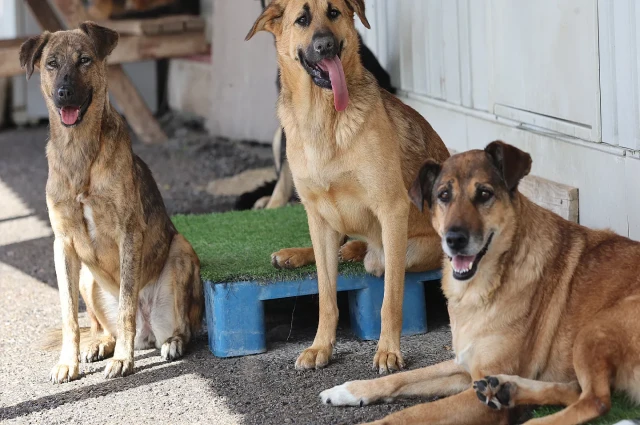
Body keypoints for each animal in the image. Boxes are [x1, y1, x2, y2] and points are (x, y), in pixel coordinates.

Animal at [18, 22, 202, 380]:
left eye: (84, 60)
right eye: (51, 63)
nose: (64, 93)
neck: (78, 152)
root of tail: (148, 332)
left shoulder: (128, 235)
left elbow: (127, 305)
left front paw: (123, 360)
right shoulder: (63, 245)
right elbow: (69, 316)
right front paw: (68, 362)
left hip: (181, 251)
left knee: (182, 326)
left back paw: (170, 342)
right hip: (87, 278)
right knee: (100, 326)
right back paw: (100, 344)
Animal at [322, 140, 640, 424]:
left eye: (484, 194)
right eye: (443, 195)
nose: (454, 240)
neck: (485, 284)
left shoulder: (477, 397)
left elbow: (410, 415)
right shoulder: (465, 367)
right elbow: (404, 377)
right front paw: (349, 390)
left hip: (595, 328)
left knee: (595, 400)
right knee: (575, 391)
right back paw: (509, 389)